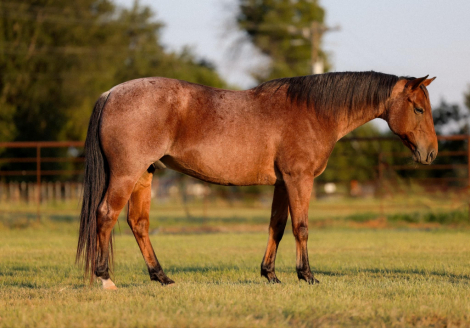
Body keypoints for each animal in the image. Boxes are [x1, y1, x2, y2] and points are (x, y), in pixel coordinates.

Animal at [75, 70, 438, 288]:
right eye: (418, 109)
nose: (431, 153)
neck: (313, 112)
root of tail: (110, 93)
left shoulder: (281, 184)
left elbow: (276, 227)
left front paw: (271, 275)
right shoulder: (298, 179)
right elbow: (301, 227)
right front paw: (307, 275)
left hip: (143, 176)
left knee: (138, 223)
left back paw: (161, 277)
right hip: (126, 174)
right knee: (105, 216)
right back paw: (105, 279)